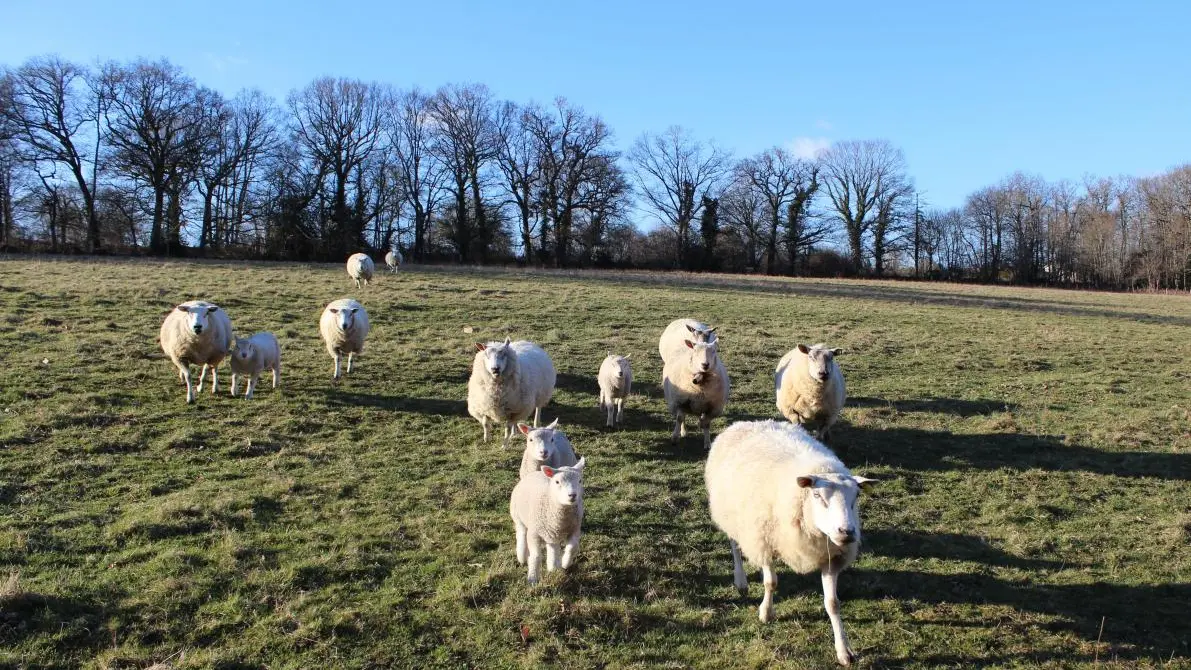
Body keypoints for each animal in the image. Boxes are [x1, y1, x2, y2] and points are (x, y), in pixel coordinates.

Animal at [700, 421, 881, 661]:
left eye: (856, 497)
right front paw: (766, 613)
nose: (847, 532)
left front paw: (844, 650)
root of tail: (747, 423)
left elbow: (833, 604)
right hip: (730, 513)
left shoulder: (830, 557)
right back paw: (740, 580)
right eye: (817, 496)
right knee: (734, 545)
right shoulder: (764, 540)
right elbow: (771, 583)